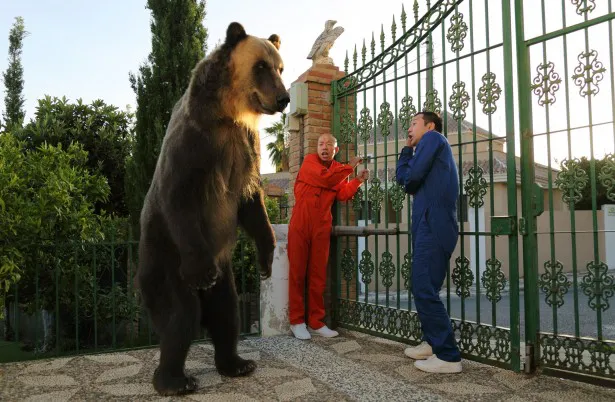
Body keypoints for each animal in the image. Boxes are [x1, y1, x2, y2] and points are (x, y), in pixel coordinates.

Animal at [136, 22, 290, 396]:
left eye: (280, 68)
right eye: (261, 66)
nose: (283, 99)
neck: (229, 113)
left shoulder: (246, 149)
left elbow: (252, 205)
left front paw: (267, 259)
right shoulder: (195, 145)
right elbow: (179, 197)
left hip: (226, 272)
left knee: (226, 312)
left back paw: (237, 363)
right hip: (165, 262)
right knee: (181, 316)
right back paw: (174, 380)